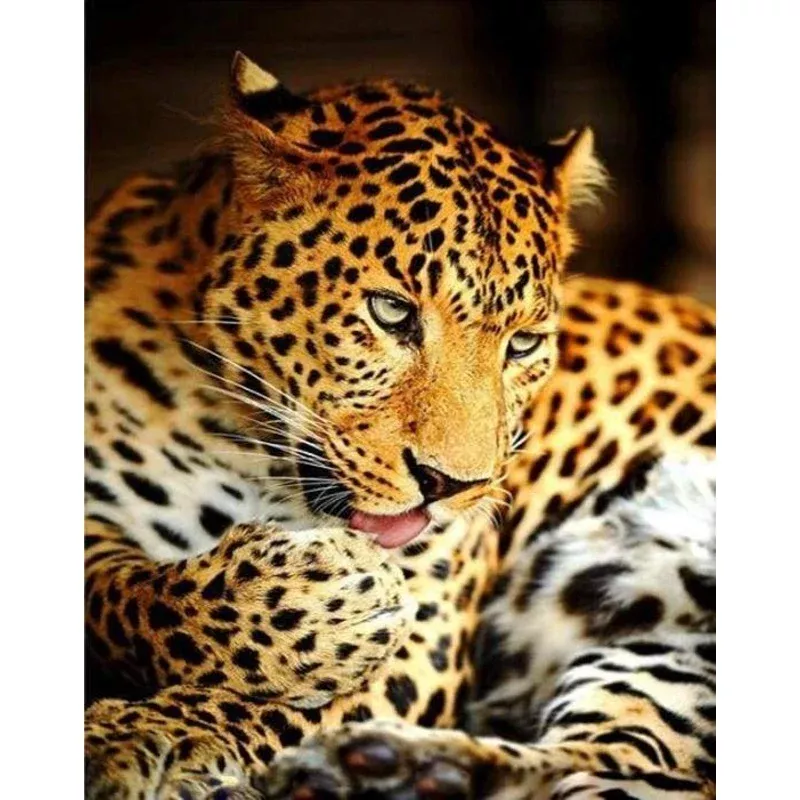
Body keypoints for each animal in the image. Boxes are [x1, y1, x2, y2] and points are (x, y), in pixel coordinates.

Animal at [84, 52, 716, 799]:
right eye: (391, 312)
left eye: (523, 344)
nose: (452, 486)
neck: (237, 441)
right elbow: (123, 593)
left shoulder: (427, 630)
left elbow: (262, 704)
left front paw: (152, 736)